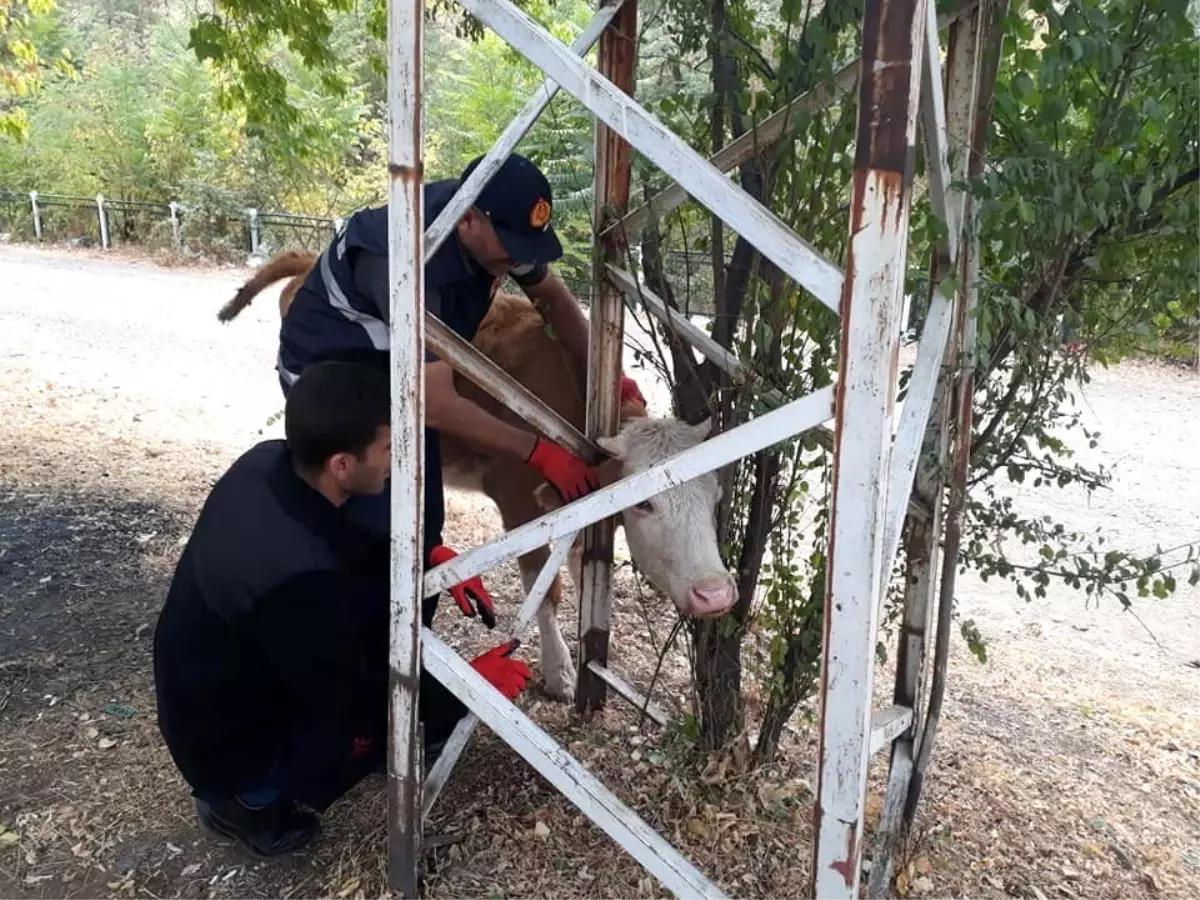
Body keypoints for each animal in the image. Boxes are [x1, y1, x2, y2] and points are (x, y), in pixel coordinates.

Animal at [220, 254, 734, 705]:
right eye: (647, 503)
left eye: (713, 499)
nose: (715, 594)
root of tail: (311, 260)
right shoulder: (519, 501)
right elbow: (546, 588)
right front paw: (559, 673)